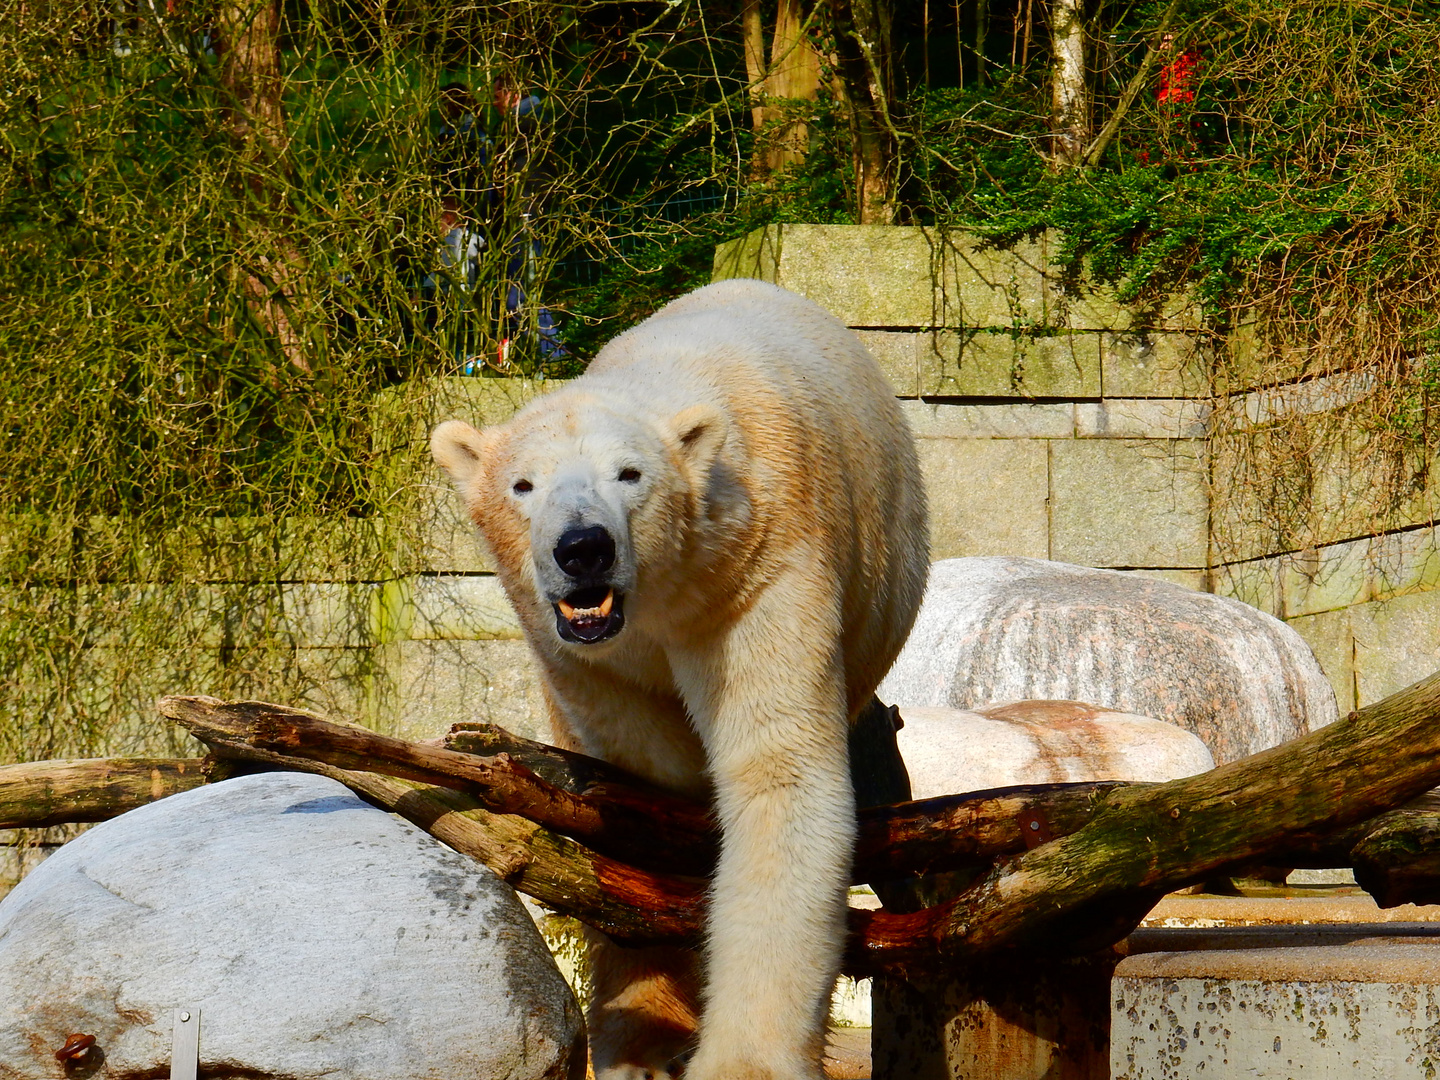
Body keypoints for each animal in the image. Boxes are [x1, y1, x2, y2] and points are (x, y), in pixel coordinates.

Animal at [426, 280, 927, 1080]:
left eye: (631, 474)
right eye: (522, 485)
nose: (583, 548)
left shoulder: (760, 567)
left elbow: (777, 770)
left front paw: (744, 1060)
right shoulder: (570, 651)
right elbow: (634, 792)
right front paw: (647, 1040)